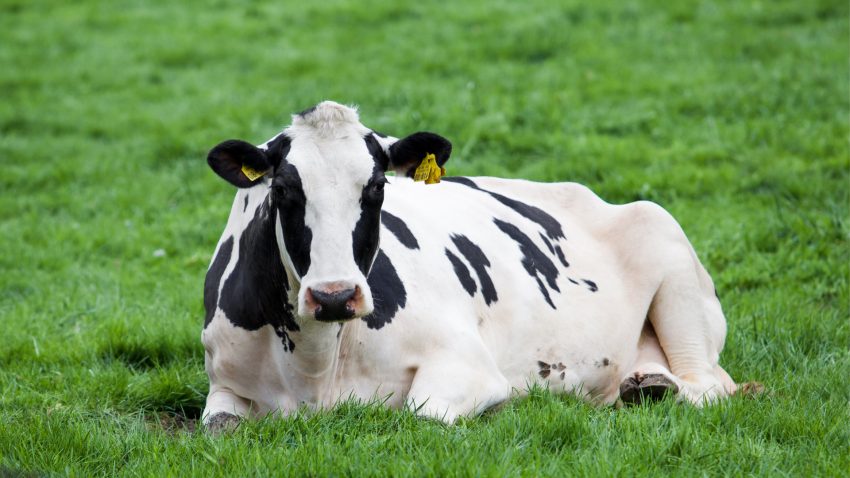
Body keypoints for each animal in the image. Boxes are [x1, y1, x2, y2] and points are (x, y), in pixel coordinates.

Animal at [201, 101, 738, 431]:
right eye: (283, 189)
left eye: (376, 187)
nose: (334, 296)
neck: (314, 369)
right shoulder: (223, 381)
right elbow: (220, 427)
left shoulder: (466, 362)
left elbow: (422, 414)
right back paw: (645, 384)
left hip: (669, 250)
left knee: (710, 385)